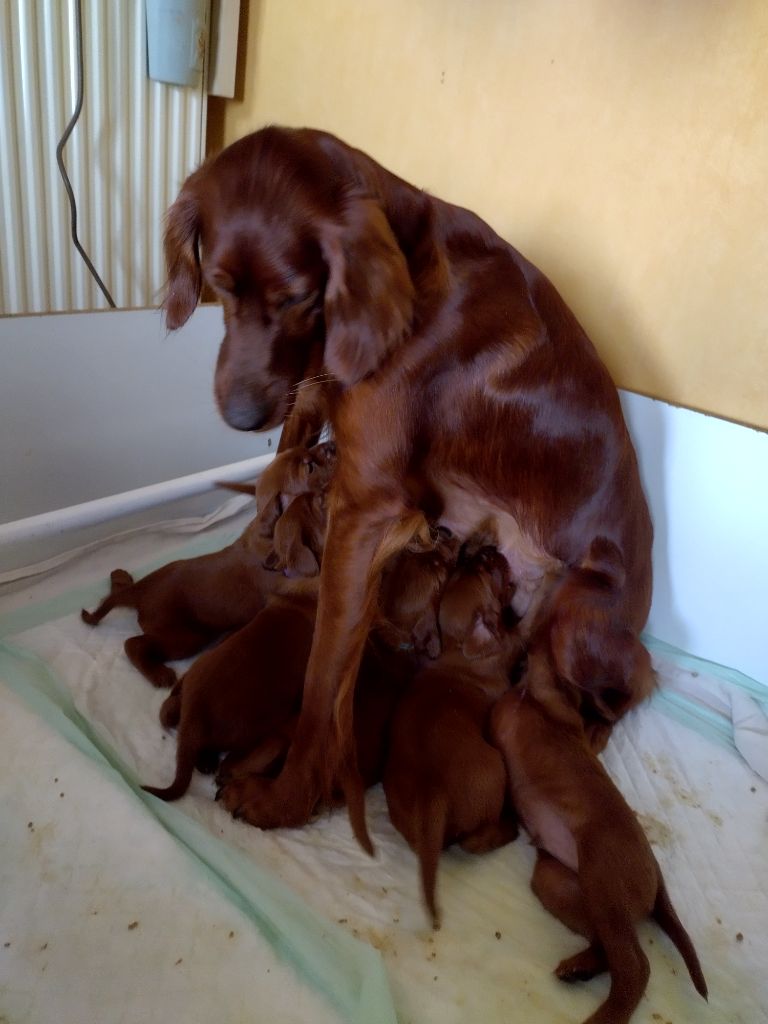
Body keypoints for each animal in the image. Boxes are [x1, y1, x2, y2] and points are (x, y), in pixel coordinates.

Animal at [162, 125, 655, 851]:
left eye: (295, 297)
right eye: (218, 286)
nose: (243, 416)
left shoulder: (368, 507)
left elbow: (324, 677)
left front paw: (288, 798)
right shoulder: (308, 401)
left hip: (579, 621)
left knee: (624, 691)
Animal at [383, 543, 519, 928]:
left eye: (471, 564)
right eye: (487, 569)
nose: (486, 547)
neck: (457, 649)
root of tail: (434, 795)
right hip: (495, 769)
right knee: (475, 841)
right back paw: (510, 827)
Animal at [489, 651, 707, 1024]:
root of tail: (656, 872)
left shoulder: (549, 696)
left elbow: (547, 675)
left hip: (602, 874)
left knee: (636, 966)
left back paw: (605, 1014)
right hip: (558, 883)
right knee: (607, 947)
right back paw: (580, 969)